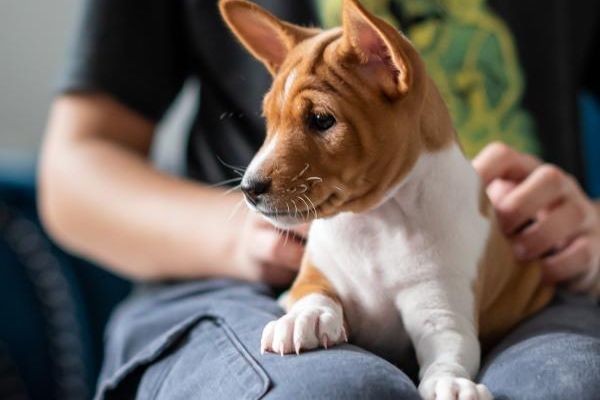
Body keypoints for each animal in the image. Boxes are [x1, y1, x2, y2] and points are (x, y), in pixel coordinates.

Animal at [219, 1, 552, 398]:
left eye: (321, 120)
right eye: (269, 120)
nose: (249, 188)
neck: (377, 222)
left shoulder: (441, 313)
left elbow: (449, 355)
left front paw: (450, 384)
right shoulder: (317, 273)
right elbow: (313, 293)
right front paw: (305, 317)